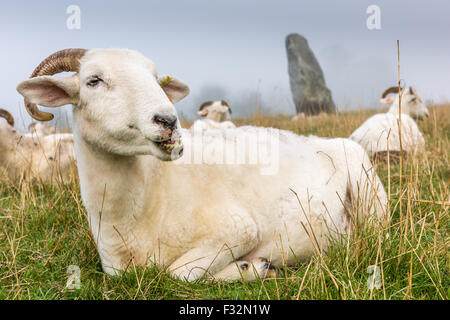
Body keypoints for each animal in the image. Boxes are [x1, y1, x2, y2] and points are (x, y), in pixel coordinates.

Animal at [17, 48, 388, 282]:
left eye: (157, 80)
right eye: (93, 80)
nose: (168, 120)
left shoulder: (238, 229)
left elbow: (178, 273)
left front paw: (251, 269)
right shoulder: (116, 269)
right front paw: (252, 269)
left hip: (370, 199)